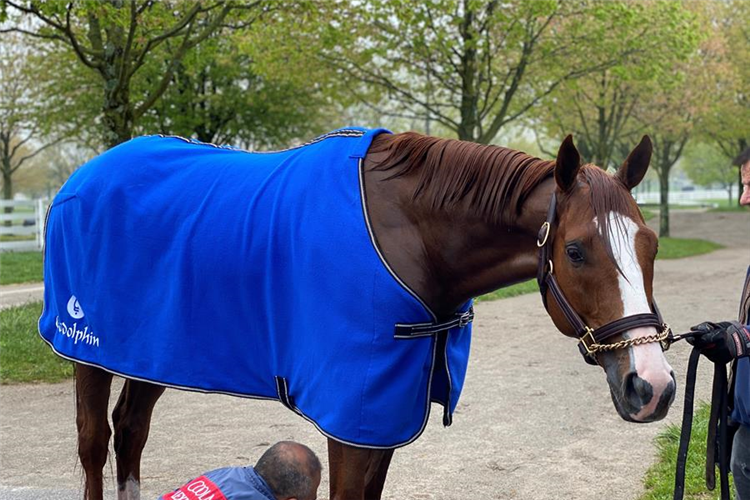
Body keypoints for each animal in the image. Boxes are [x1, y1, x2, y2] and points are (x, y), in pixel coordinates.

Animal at [70, 133, 680, 500]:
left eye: (650, 245)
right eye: (575, 250)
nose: (653, 386)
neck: (408, 234)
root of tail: (84, 177)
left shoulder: (384, 414)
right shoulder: (350, 419)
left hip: (156, 352)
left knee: (132, 429)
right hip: (87, 352)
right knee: (96, 441)